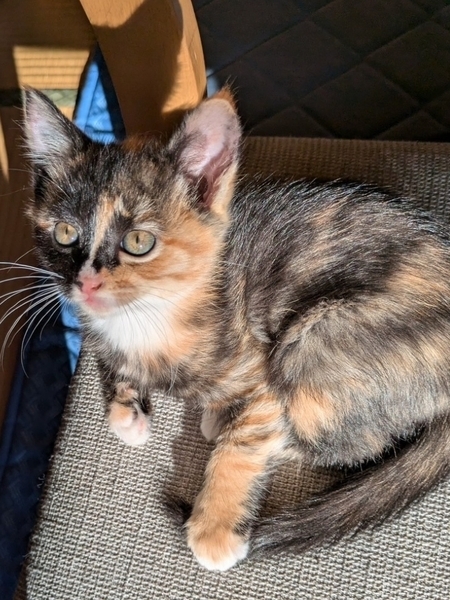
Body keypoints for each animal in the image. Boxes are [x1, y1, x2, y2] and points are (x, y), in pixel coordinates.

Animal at [23, 88, 450, 572]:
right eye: (64, 233)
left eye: (138, 242)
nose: (86, 283)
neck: (150, 317)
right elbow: (113, 367)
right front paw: (127, 411)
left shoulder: (258, 360)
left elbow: (246, 438)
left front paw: (214, 529)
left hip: (313, 343)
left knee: (352, 441)